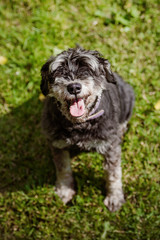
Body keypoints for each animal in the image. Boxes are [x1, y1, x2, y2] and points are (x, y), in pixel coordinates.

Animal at [40, 47, 134, 212]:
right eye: (58, 70)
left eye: (87, 68)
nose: (74, 87)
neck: (79, 124)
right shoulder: (57, 144)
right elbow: (63, 168)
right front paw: (65, 191)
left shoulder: (110, 147)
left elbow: (114, 174)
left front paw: (114, 198)